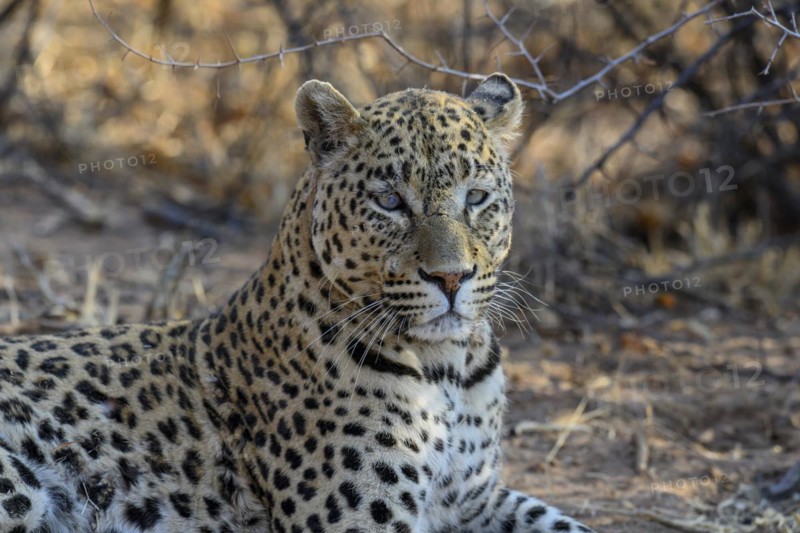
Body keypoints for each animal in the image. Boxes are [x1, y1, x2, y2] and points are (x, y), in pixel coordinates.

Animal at [0, 73, 596, 533]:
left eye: (476, 198)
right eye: (389, 201)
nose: (451, 277)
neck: (448, 369)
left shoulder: (477, 499)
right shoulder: (357, 521)